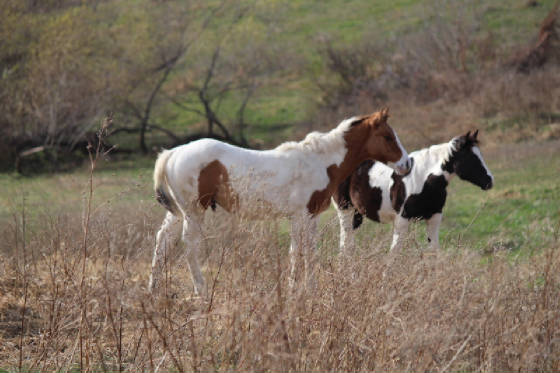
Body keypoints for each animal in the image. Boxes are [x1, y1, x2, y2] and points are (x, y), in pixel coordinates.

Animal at [149, 107, 412, 294]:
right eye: (388, 137)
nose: (407, 164)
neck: (320, 161)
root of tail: (173, 153)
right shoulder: (300, 216)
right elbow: (299, 252)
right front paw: (296, 289)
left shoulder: (309, 216)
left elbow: (307, 251)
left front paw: (308, 288)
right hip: (194, 212)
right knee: (188, 247)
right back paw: (201, 290)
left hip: (178, 212)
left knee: (163, 240)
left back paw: (154, 289)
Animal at [334, 131, 492, 253]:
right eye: (471, 158)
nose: (490, 180)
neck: (424, 179)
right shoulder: (402, 220)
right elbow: (394, 253)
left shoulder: (434, 218)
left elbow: (434, 251)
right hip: (345, 209)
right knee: (344, 241)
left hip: (357, 212)